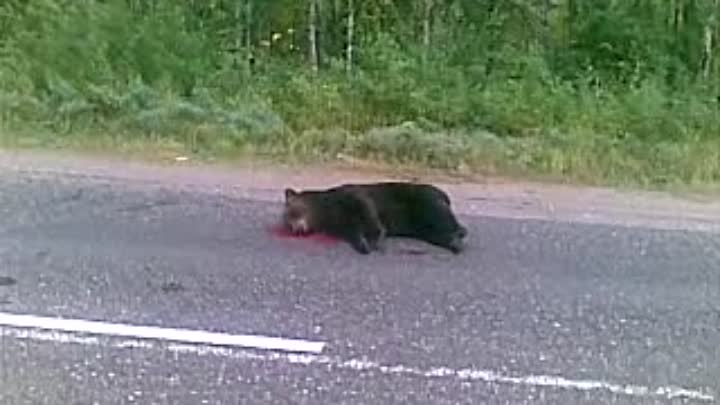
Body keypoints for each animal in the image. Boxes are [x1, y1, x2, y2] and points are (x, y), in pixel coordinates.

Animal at [282, 181, 466, 254]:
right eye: (287, 223)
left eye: (291, 213)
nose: (294, 229)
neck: (324, 212)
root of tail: (444, 194)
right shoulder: (342, 221)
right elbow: (354, 231)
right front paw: (363, 244)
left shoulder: (350, 196)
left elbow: (367, 210)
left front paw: (377, 237)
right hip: (421, 224)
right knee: (436, 232)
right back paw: (453, 242)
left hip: (425, 201)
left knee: (442, 219)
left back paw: (458, 236)